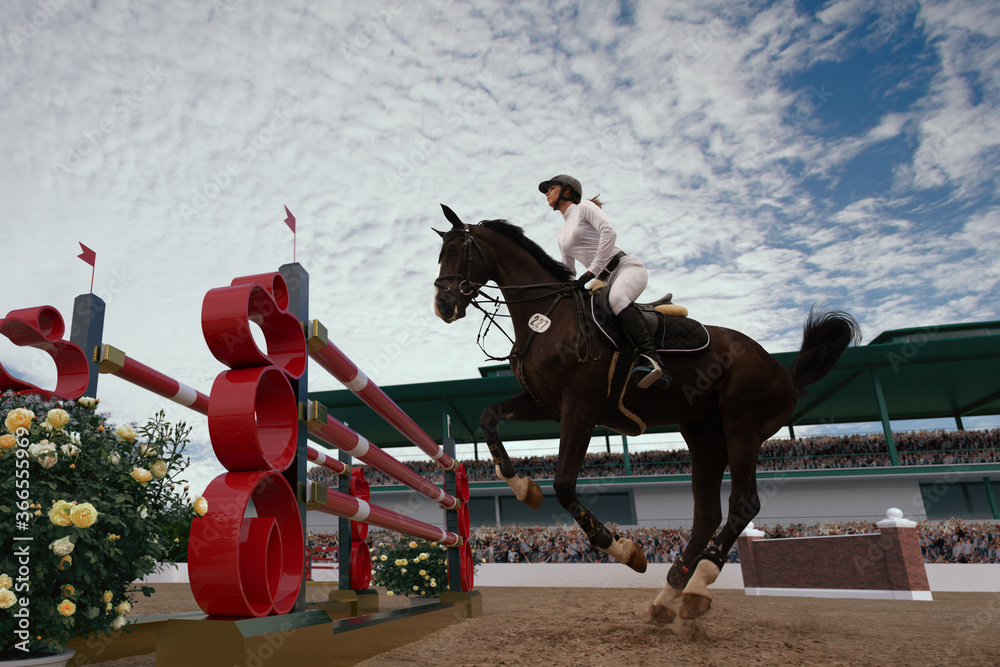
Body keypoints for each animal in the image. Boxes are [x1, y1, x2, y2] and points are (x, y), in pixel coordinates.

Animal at [430, 206, 860, 624]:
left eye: (455, 252)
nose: (442, 306)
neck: (548, 318)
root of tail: (783, 371)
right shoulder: (545, 404)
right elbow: (489, 417)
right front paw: (522, 486)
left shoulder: (580, 409)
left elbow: (565, 484)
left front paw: (621, 548)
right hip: (702, 434)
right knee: (707, 514)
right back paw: (670, 594)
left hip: (744, 428)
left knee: (744, 504)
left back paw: (699, 583)